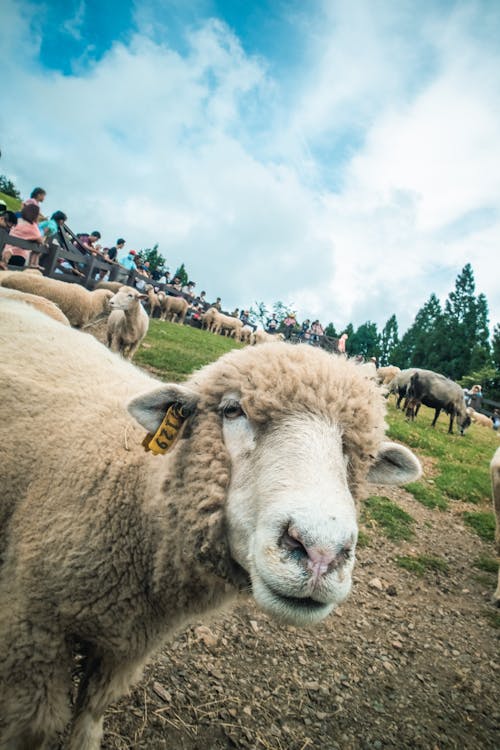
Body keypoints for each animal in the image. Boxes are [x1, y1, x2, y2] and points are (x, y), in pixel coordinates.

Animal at [0, 302, 422, 750]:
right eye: (232, 410)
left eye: (361, 453)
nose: (320, 553)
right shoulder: (33, 634)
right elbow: (35, 728)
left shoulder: (127, 647)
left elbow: (92, 710)